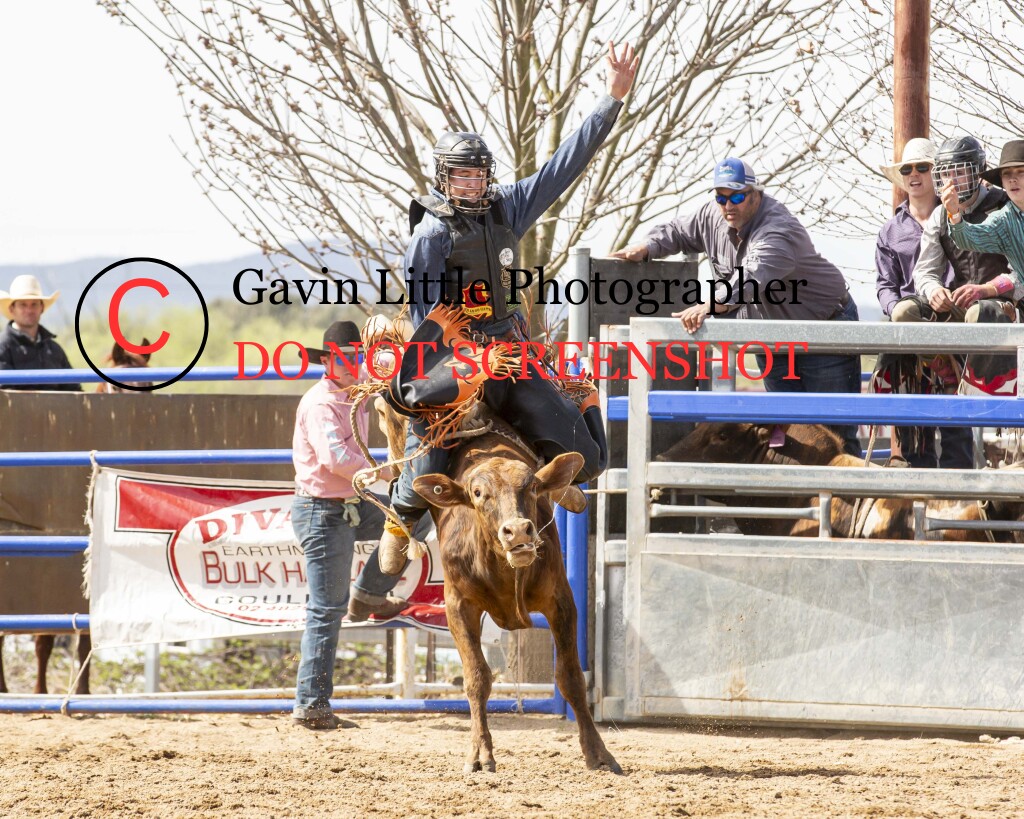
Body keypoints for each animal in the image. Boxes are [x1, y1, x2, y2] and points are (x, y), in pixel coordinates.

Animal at [411, 426, 621, 774]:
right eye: (478, 493)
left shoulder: (561, 601)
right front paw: (480, 753)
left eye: (533, 485)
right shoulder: (457, 607)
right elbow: (476, 677)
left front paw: (598, 753)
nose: (519, 531)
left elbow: (571, 677)